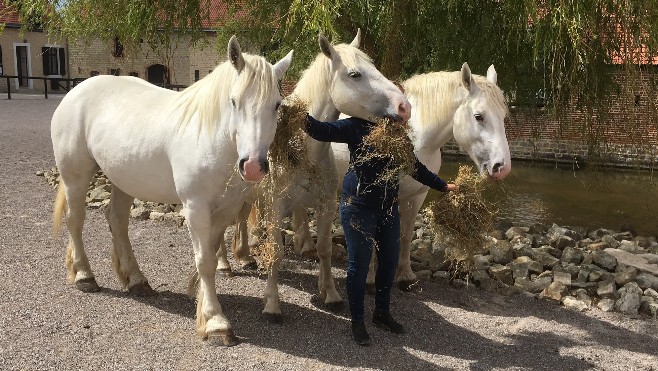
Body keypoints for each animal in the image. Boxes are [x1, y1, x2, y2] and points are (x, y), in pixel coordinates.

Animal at [52, 36, 294, 348]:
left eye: (276, 105)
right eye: (234, 101)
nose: (252, 166)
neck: (212, 138)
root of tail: (76, 91)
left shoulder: (226, 209)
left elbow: (211, 253)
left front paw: (201, 302)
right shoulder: (195, 206)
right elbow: (205, 261)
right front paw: (215, 322)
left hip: (124, 181)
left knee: (117, 221)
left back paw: (137, 280)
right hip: (76, 177)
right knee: (76, 220)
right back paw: (84, 276)